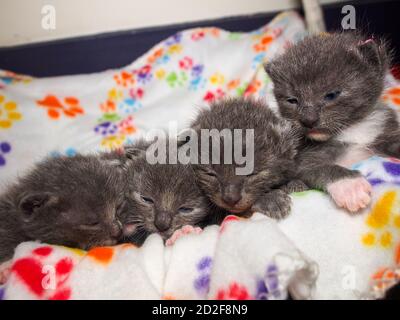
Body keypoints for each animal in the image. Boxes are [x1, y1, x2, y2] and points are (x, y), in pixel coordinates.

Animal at [266, 31, 396, 212]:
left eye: (331, 95)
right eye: (292, 100)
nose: (308, 120)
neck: (351, 129)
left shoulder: (386, 128)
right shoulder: (302, 157)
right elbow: (321, 168)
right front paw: (351, 187)